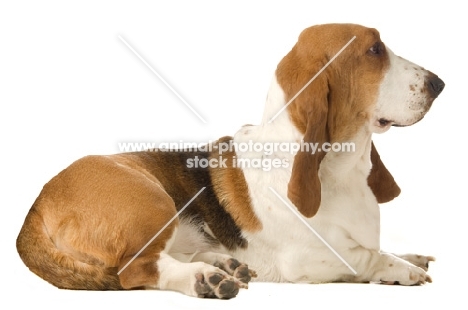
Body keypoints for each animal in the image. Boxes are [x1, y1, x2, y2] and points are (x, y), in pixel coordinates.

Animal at [16, 23, 444, 300]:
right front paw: (403, 269)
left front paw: (411, 256)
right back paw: (205, 279)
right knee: (135, 269)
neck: (343, 172)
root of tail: (35, 208)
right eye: (375, 50)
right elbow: (367, 256)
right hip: (153, 200)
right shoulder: (307, 259)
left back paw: (224, 265)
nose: (439, 84)